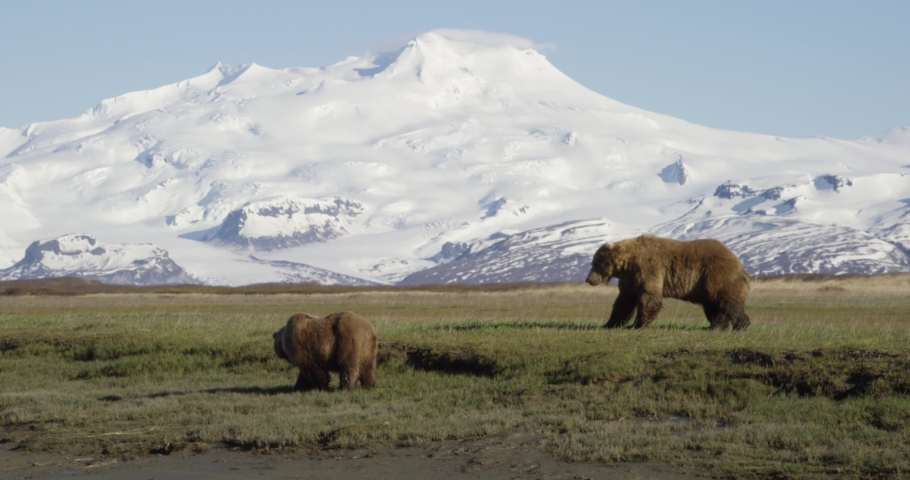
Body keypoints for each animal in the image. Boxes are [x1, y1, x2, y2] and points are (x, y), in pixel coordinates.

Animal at [588, 233, 752, 330]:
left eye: (595, 263)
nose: (589, 279)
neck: (627, 264)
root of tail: (739, 263)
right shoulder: (630, 279)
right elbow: (624, 301)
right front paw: (610, 323)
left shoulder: (648, 267)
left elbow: (649, 296)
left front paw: (638, 324)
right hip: (707, 284)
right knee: (712, 305)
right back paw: (716, 326)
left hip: (717, 275)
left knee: (728, 300)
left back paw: (741, 325)